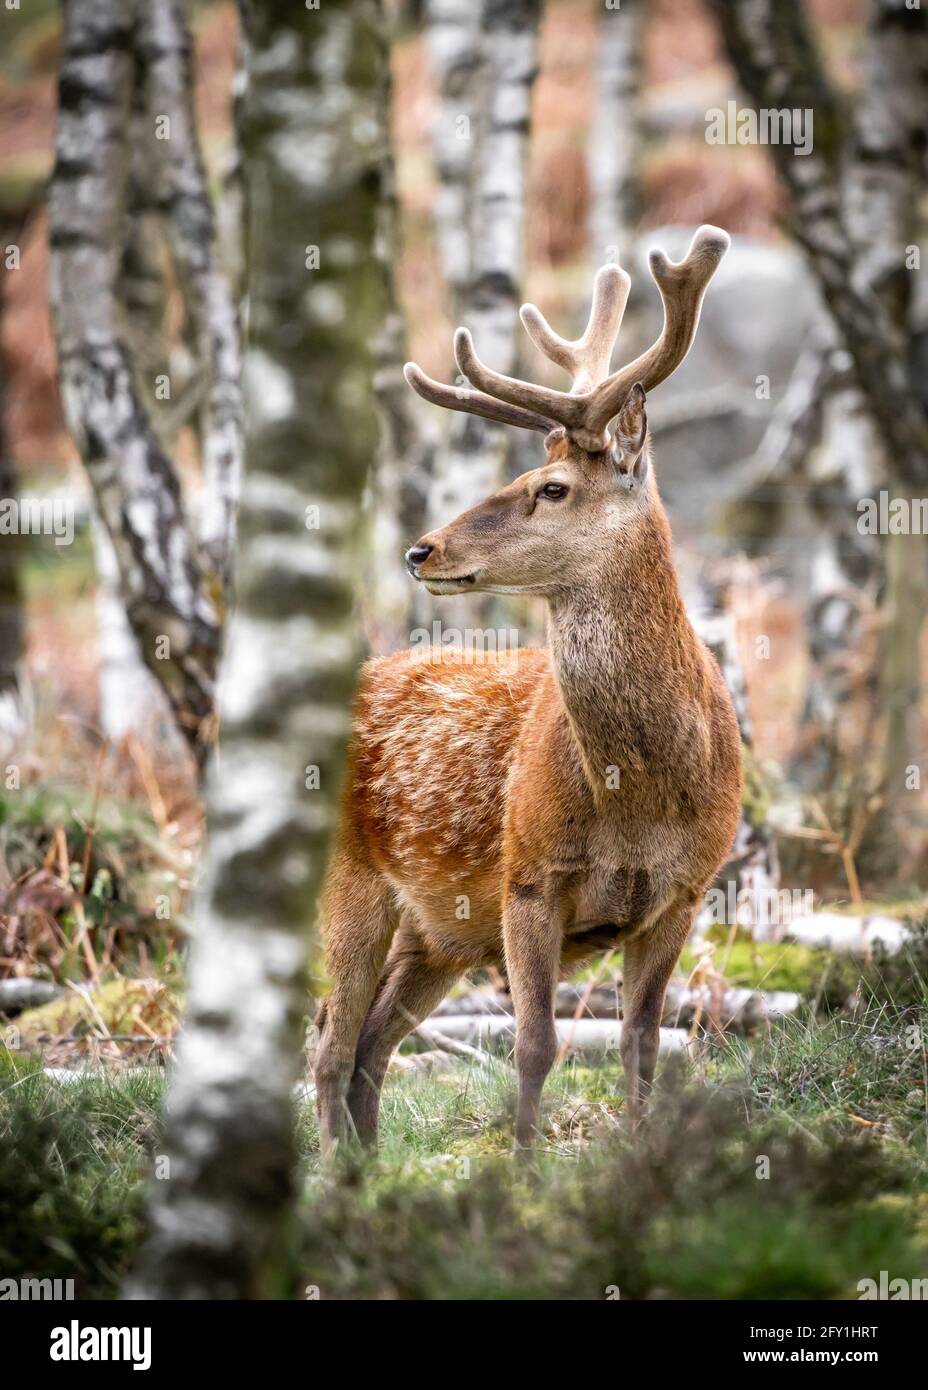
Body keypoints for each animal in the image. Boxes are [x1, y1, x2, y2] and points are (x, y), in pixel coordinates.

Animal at [314, 225, 743, 1155]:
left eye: (552, 488)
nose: (421, 549)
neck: (638, 795)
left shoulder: (686, 891)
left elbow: (643, 1043)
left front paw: (638, 1157)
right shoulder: (528, 879)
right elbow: (537, 1044)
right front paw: (521, 1166)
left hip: (440, 931)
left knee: (370, 1045)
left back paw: (367, 1170)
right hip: (351, 879)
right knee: (329, 1041)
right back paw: (331, 1172)